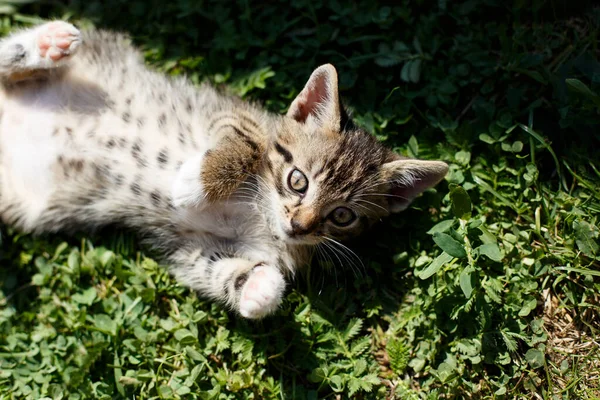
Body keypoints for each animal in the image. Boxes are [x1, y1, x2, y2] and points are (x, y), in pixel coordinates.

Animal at [0, 21, 450, 318]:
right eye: (298, 181)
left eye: (342, 216)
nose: (299, 226)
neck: (263, 214)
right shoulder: (234, 114)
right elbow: (244, 145)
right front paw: (194, 184)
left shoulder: (190, 246)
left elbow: (216, 271)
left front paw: (260, 290)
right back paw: (47, 42)